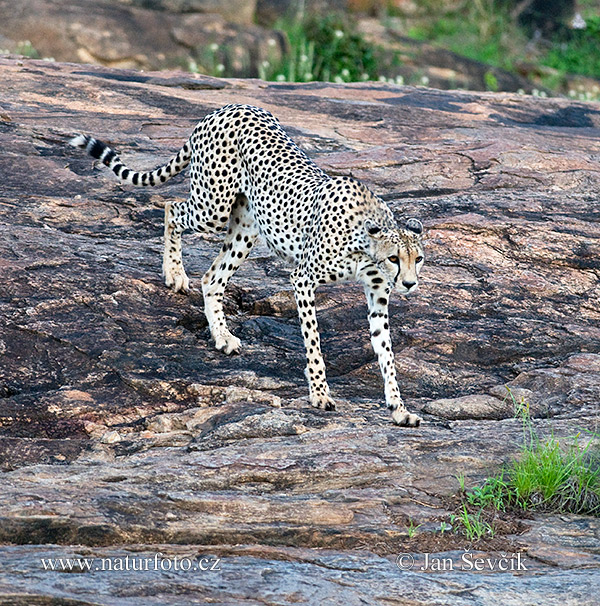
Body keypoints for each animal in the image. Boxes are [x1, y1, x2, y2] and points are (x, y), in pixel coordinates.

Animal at [70, 104, 424, 428]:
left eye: (417, 259)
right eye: (395, 258)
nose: (409, 284)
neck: (366, 245)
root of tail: (225, 108)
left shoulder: (377, 295)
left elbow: (386, 353)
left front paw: (399, 408)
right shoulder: (303, 278)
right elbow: (314, 342)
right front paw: (320, 393)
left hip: (246, 227)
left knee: (212, 277)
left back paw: (222, 336)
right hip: (212, 207)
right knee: (172, 208)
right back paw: (174, 273)